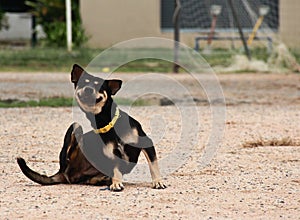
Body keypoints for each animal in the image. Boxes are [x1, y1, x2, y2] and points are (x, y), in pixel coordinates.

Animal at [16, 63, 166, 191]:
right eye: (83, 83)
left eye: (99, 86)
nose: (88, 89)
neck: (107, 122)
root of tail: (61, 172)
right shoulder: (113, 154)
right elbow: (116, 168)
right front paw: (116, 183)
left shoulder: (146, 143)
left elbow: (153, 166)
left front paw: (158, 182)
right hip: (75, 127)